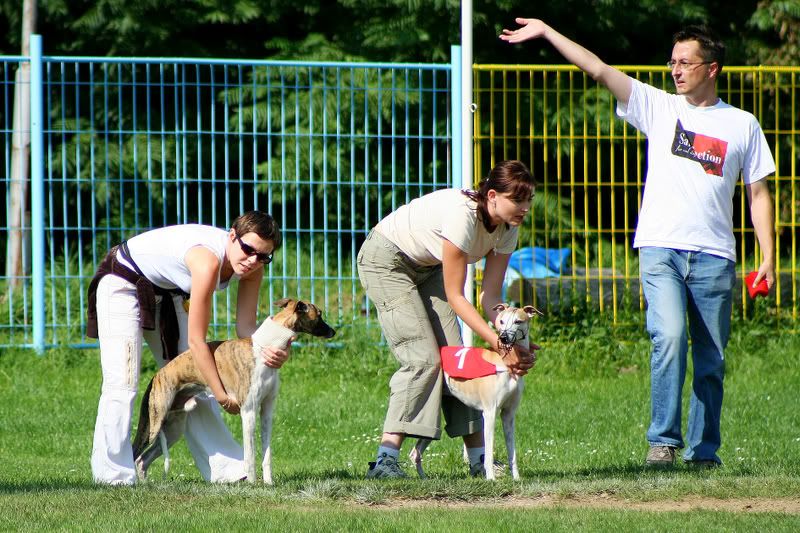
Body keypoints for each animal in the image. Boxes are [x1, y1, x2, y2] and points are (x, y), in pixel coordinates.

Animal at [131, 298, 334, 484]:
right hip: (154, 424)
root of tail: (157, 376)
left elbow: (267, 453)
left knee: (142, 460)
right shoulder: (248, 411)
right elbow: (250, 455)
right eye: (319, 314)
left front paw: (269, 483)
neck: (266, 347)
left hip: (173, 427)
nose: (334, 331)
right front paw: (253, 484)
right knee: (135, 452)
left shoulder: (267, 410)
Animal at [410, 302, 540, 480]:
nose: (503, 338)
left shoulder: (508, 415)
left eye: (518, 321)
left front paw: (516, 478)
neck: (504, 362)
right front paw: (491, 478)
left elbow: (512, 452)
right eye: (501, 321)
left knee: (415, 452)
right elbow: (489, 451)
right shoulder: (490, 413)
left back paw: (424, 478)